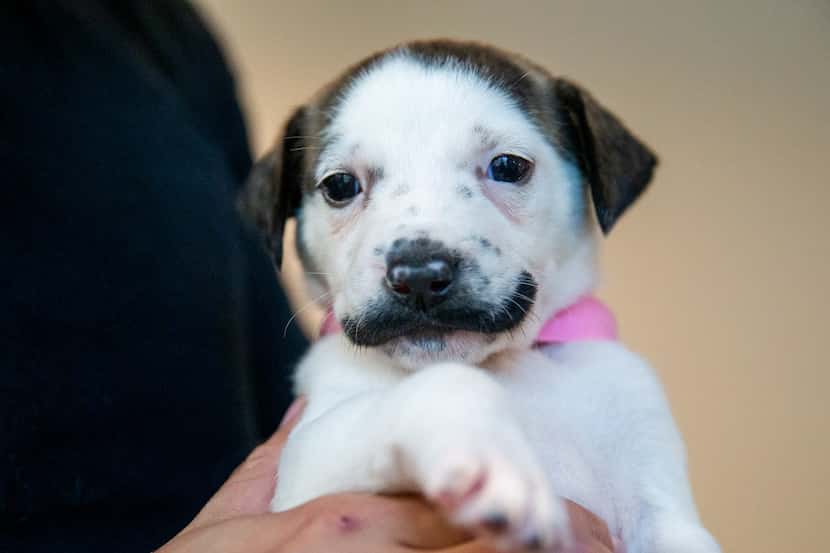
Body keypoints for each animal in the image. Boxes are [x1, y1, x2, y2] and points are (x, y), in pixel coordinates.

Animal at [240, 40, 720, 552]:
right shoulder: (306, 463)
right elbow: (448, 383)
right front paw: (494, 465)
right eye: (339, 185)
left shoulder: (660, 502)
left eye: (508, 166)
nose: (419, 275)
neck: (508, 362)